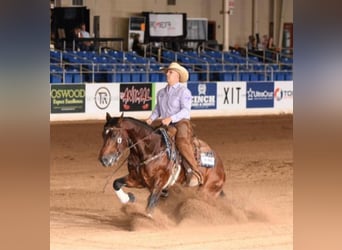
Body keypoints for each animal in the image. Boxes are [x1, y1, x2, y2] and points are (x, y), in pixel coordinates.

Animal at [97, 112, 226, 216]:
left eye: (114, 135)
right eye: (103, 134)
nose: (104, 159)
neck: (151, 150)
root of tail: (221, 168)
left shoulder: (159, 183)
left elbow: (150, 205)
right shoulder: (137, 180)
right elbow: (116, 183)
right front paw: (128, 198)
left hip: (206, 191)